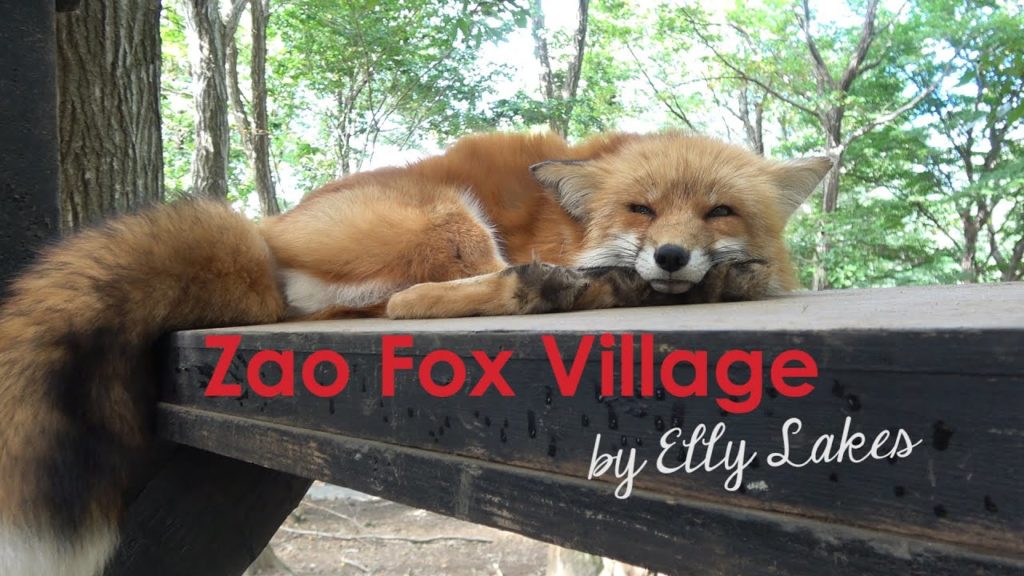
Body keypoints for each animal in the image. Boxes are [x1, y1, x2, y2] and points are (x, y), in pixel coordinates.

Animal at [0, 131, 829, 575]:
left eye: (720, 211)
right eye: (641, 208)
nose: (669, 256)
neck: (572, 229)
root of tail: (264, 233)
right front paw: (679, 282)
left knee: (376, 306)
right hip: (452, 220)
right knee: (412, 302)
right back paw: (566, 290)